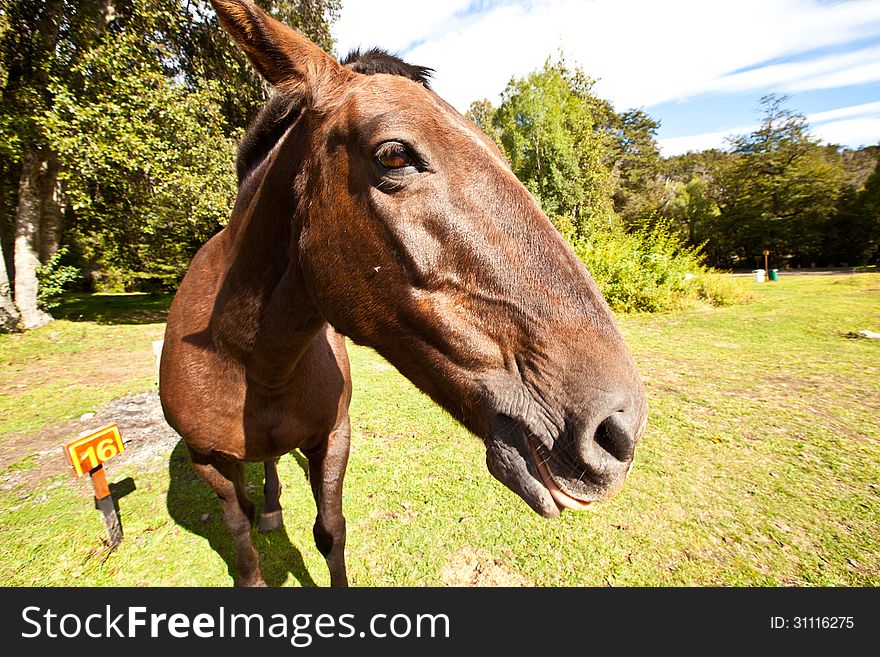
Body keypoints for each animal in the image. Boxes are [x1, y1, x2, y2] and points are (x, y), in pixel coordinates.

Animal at [162, 0, 648, 584]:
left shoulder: (335, 437)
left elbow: (330, 532)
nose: (619, 428)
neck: (250, 362)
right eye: (394, 156)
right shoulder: (207, 461)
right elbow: (240, 535)